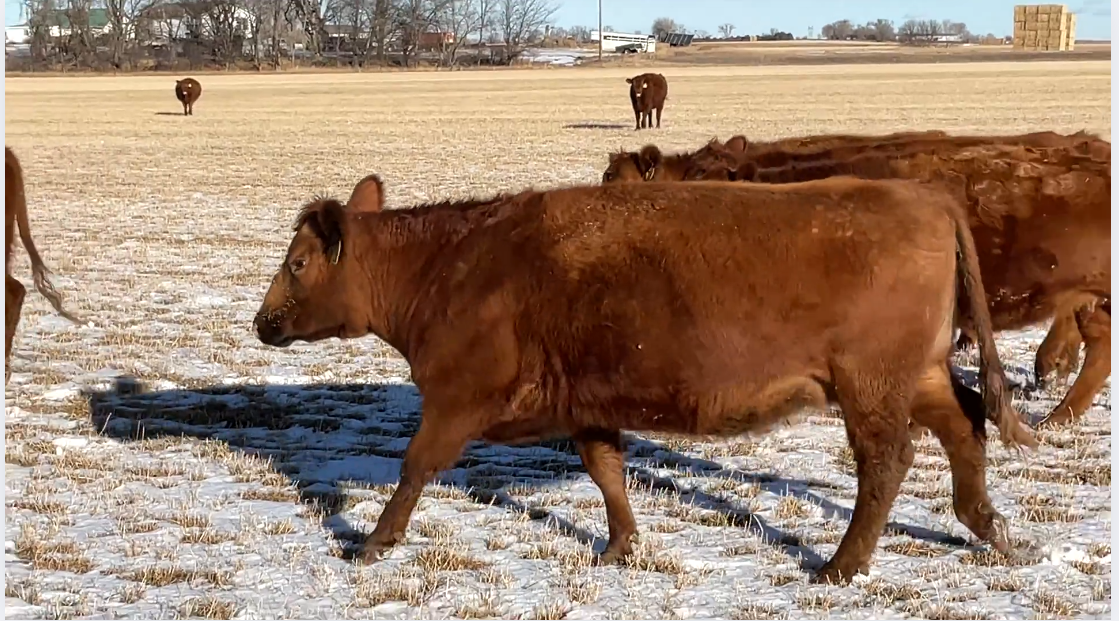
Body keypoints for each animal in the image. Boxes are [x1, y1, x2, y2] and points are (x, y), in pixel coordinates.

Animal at [254, 173, 1029, 581]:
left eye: (297, 263)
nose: (262, 322)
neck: (455, 266)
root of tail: (924, 197)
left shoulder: (455, 396)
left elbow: (415, 466)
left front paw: (374, 541)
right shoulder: (586, 403)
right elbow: (607, 471)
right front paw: (621, 544)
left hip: (870, 383)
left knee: (887, 460)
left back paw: (842, 563)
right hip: (917, 374)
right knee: (965, 424)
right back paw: (986, 525)